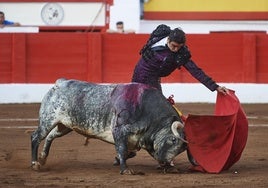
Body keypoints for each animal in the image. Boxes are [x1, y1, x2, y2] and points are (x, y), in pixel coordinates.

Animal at [30, 78, 187, 175]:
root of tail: (59, 83)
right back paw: (35, 163)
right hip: (48, 120)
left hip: (65, 126)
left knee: (50, 136)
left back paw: (43, 158)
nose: (165, 162)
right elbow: (122, 150)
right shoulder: (119, 131)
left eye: (181, 150)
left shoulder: (141, 139)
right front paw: (126, 170)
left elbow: (133, 152)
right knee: (36, 137)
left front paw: (170, 168)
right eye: (173, 140)